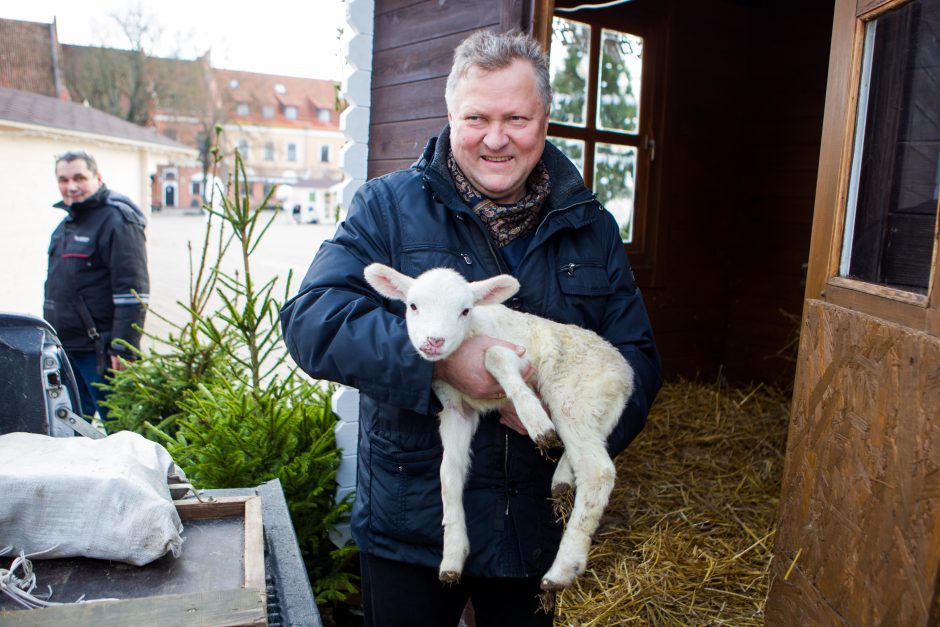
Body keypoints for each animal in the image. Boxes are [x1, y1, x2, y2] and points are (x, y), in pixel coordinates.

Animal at [364, 262, 636, 592]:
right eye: (413, 306)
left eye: (465, 310)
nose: (433, 341)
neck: (473, 332)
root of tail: (625, 374)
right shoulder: (457, 410)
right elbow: (448, 476)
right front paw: (452, 556)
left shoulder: (519, 354)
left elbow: (493, 355)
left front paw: (535, 421)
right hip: (593, 406)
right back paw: (562, 479)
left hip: (573, 395)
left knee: (598, 472)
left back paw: (562, 569)